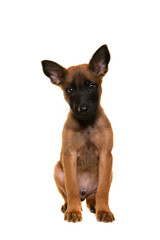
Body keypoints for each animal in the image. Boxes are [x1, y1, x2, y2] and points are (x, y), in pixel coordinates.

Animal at [41, 45, 115, 223]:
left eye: (91, 85)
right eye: (70, 90)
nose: (83, 109)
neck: (86, 124)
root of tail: (85, 192)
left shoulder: (106, 156)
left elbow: (103, 190)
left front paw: (104, 210)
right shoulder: (69, 156)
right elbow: (71, 187)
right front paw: (73, 211)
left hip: (109, 172)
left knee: (93, 195)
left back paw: (94, 204)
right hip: (57, 169)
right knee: (68, 194)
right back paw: (68, 205)